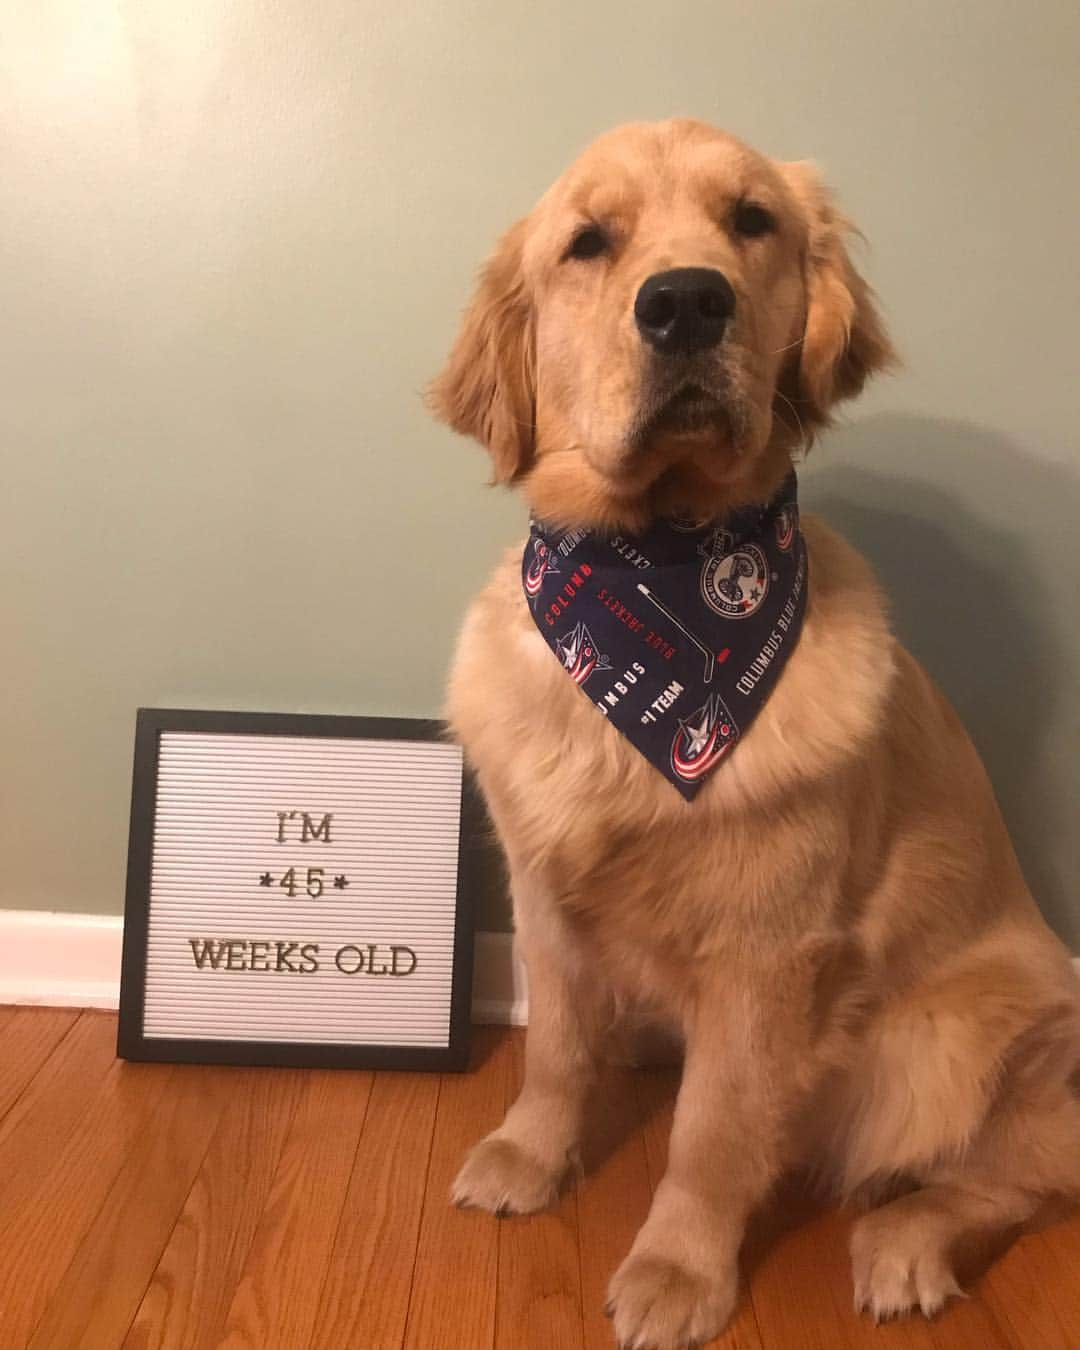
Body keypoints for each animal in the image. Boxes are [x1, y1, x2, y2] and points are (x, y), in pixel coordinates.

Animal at [426, 121, 1074, 1344]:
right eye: (588, 242)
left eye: (751, 221)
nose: (686, 302)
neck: (657, 577)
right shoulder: (543, 892)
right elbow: (556, 1051)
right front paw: (530, 1156)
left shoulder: (766, 956)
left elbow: (712, 1135)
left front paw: (678, 1270)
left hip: (960, 1033)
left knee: (1014, 1180)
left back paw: (903, 1247)